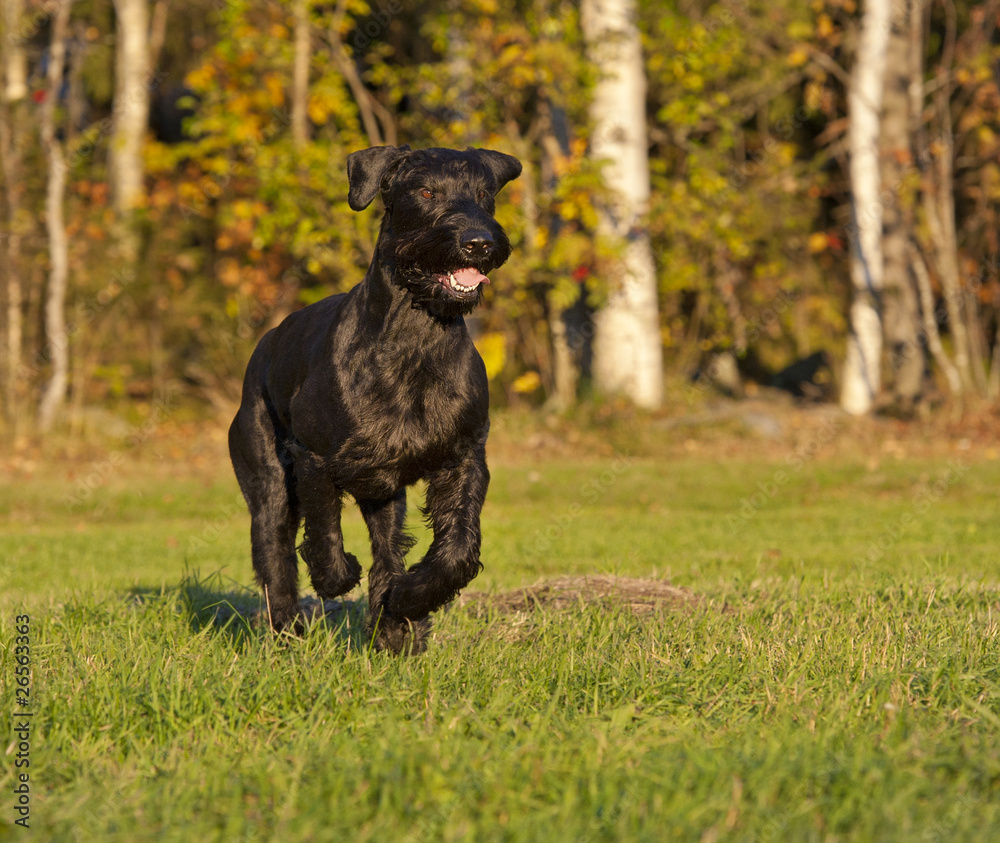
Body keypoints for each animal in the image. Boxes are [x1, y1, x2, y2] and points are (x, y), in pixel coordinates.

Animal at [228, 148, 524, 656]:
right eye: (425, 192)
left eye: (486, 194)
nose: (479, 242)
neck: (416, 338)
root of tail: (265, 342)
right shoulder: (315, 458)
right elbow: (323, 531)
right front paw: (338, 576)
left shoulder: (463, 458)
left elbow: (458, 550)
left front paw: (408, 600)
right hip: (268, 478)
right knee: (273, 553)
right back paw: (288, 633)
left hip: (384, 494)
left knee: (388, 548)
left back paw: (393, 630)